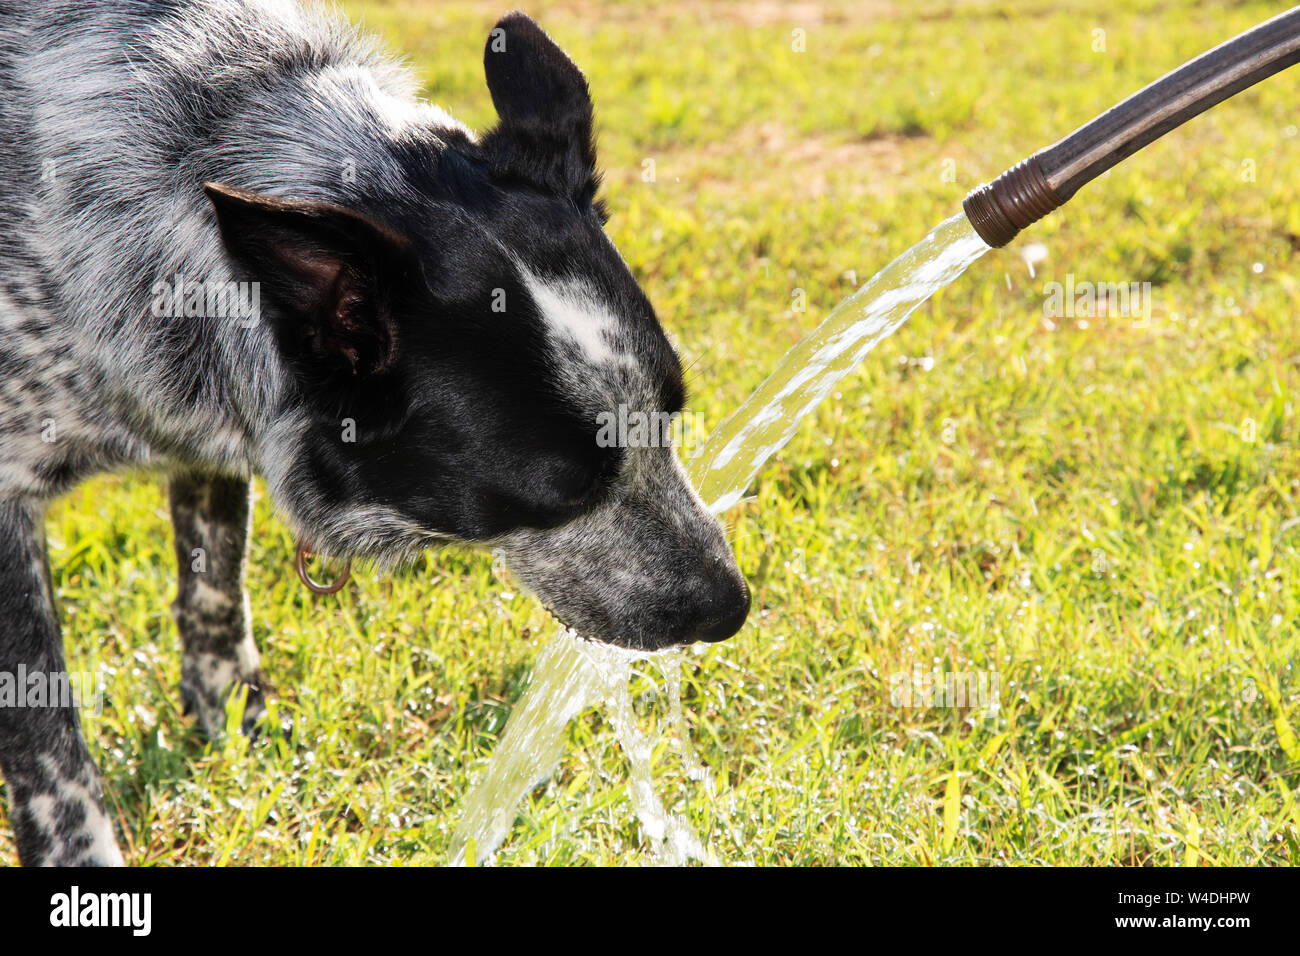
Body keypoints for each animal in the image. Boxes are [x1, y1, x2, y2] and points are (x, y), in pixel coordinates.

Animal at [0, 0, 754, 868]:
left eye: (669, 413)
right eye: (562, 488)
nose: (733, 607)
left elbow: (214, 588)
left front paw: (238, 733)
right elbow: (47, 742)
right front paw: (80, 854)